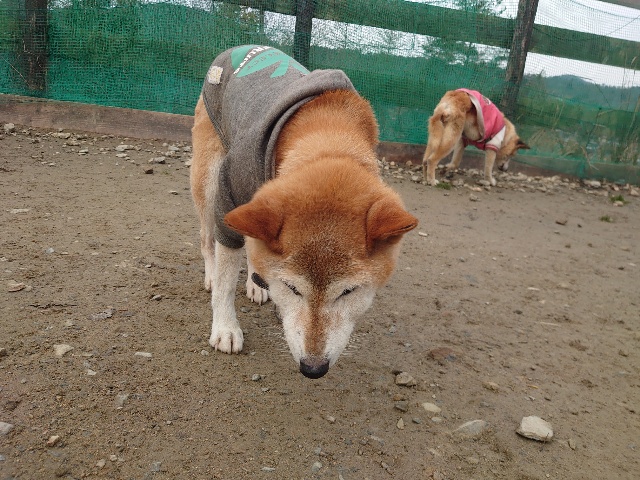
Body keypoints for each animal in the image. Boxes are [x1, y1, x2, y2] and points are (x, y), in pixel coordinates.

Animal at [191, 45, 418, 379]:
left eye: (348, 292)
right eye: (291, 288)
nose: (313, 368)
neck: (328, 133)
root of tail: (237, 49)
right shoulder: (230, 194)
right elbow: (225, 282)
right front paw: (225, 328)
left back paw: (256, 283)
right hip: (208, 180)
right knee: (207, 239)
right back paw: (210, 272)